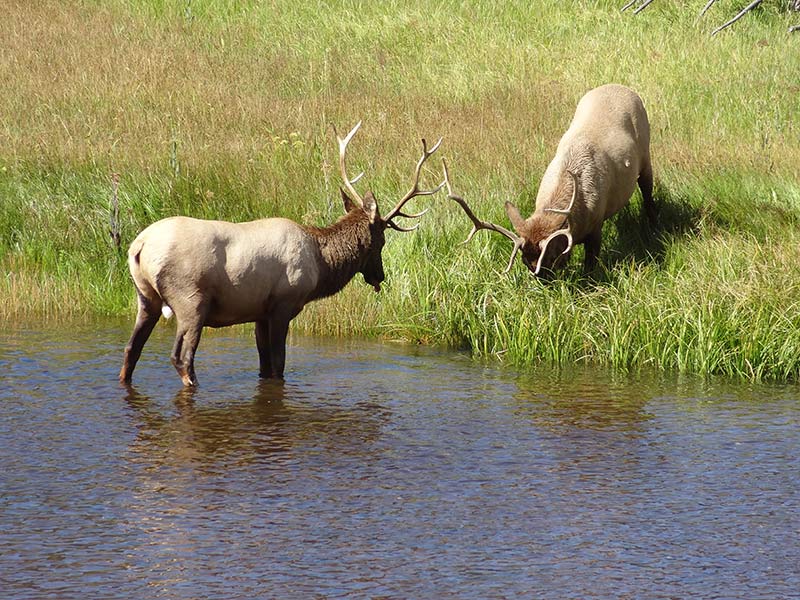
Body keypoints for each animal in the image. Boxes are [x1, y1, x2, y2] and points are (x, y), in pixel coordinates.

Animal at [119, 122, 444, 386]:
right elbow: (278, 365)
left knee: (131, 350)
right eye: (381, 241)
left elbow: (264, 366)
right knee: (181, 357)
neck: (320, 265)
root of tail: (139, 246)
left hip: (145, 297)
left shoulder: (259, 312)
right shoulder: (283, 304)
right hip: (190, 299)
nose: (381, 275)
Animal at [444, 84, 656, 276]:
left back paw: (652, 226)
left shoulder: (596, 226)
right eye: (524, 262)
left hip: (646, 156)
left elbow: (591, 262)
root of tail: (624, 88)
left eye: (552, 257)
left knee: (647, 192)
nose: (543, 281)